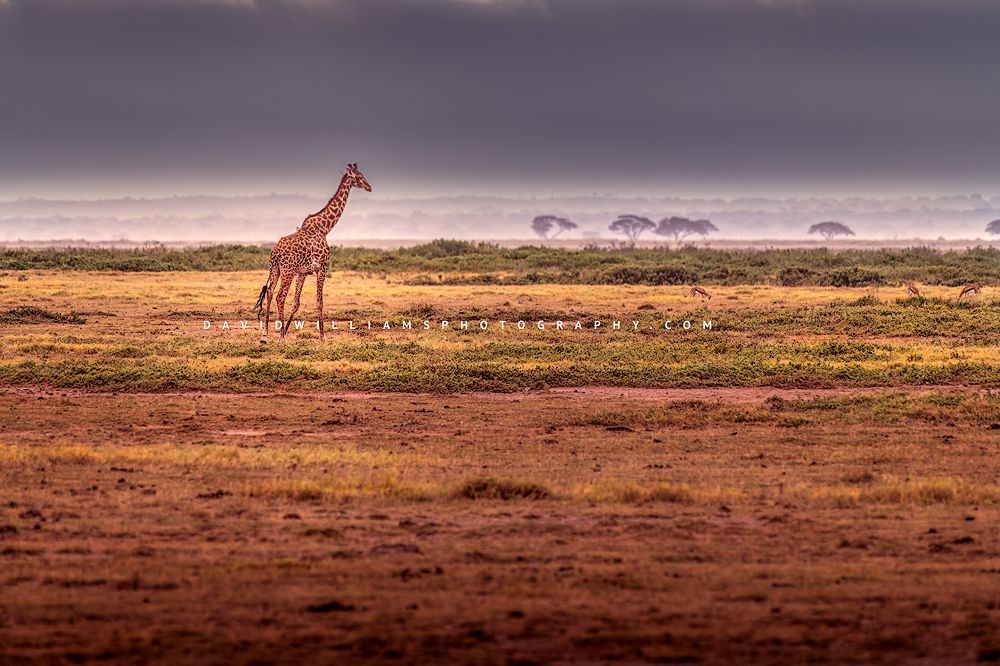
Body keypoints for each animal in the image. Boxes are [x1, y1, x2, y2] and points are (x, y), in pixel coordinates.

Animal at [254, 163, 372, 341]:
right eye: (359, 176)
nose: (369, 187)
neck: (324, 228)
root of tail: (276, 253)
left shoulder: (303, 272)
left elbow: (296, 303)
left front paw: (286, 330)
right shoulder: (322, 268)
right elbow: (319, 302)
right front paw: (322, 337)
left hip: (275, 269)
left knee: (269, 292)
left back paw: (265, 335)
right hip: (288, 271)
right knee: (280, 296)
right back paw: (281, 338)